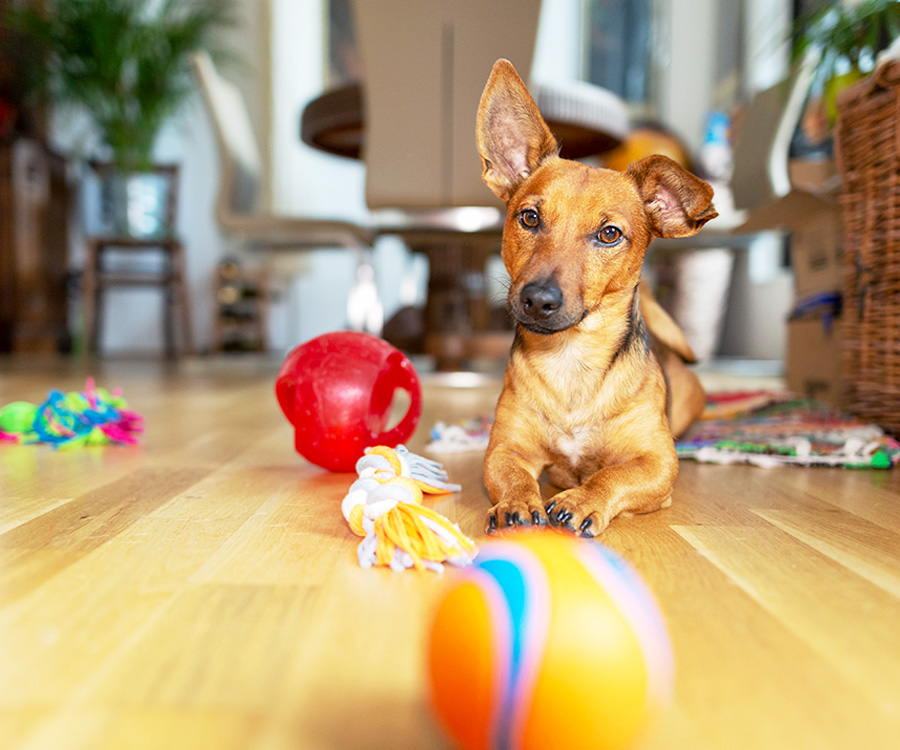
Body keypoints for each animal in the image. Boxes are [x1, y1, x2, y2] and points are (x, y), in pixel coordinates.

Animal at [478, 61, 716, 536]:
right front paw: (517, 503)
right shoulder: (504, 449)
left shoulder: (657, 463)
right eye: (528, 217)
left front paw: (583, 499)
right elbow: (513, 476)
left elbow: (612, 476)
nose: (538, 299)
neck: (571, 360)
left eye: (609, 234)